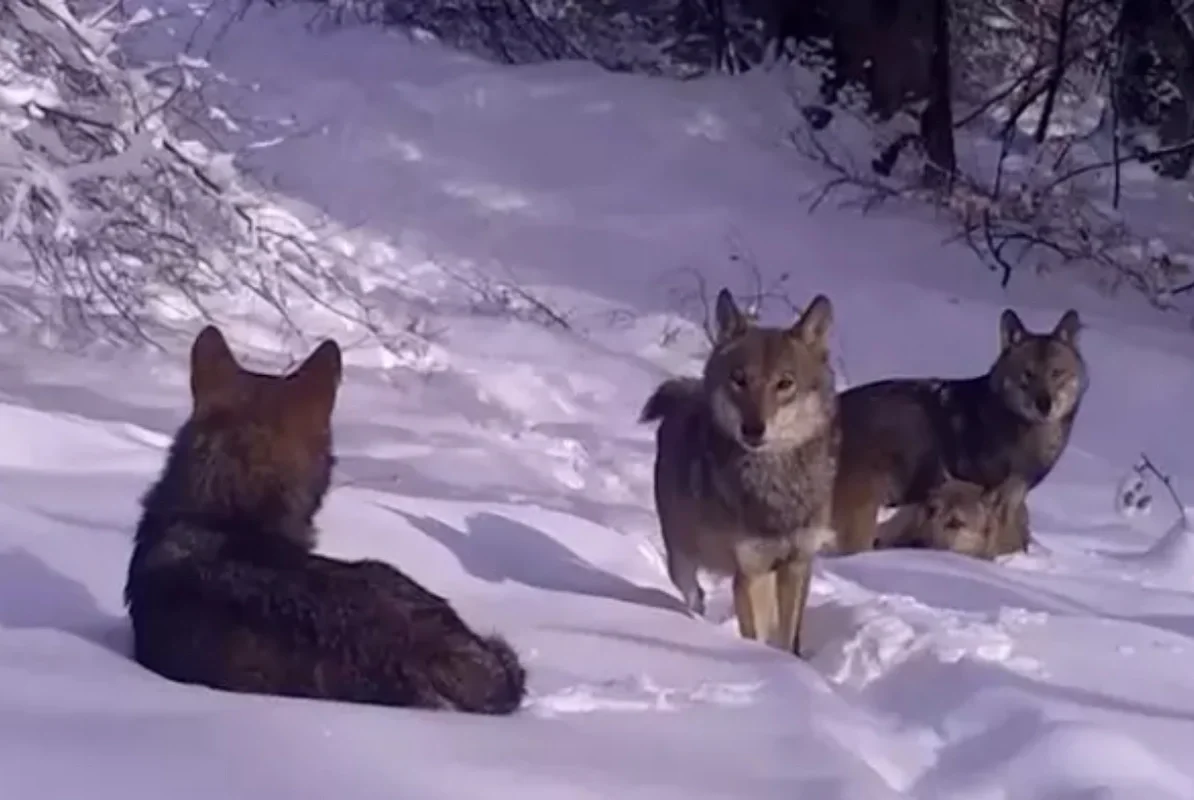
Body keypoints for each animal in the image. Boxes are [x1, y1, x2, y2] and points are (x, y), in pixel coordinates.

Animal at [639, 288, 835, 659]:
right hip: (681, 559)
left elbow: (786, 638)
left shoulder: (796, 565)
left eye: (785, 384)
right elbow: (755, 635)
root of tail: (688, 394)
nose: (753, 429)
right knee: (695, 593)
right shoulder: (748, 574)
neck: (775, 486)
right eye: (739, 379)